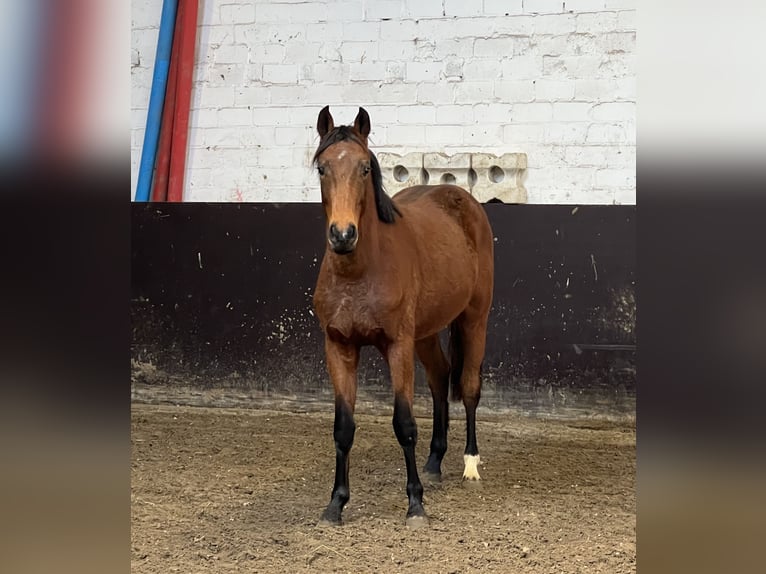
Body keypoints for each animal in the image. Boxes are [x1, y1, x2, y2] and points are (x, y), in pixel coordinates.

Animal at [314, 106, 498, 528]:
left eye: (365, 167)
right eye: (322, 167)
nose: (343, 235)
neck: (360, 271)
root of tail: (463, 199)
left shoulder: (397, 345)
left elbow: (404, 423)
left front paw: (415, 503)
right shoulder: (339, 347)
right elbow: (343, 428)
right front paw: (336, 503)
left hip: (474, 320)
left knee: (468, 386)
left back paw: (470, 463)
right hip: (426, 334)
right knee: (440, 377)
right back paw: (434, 461)